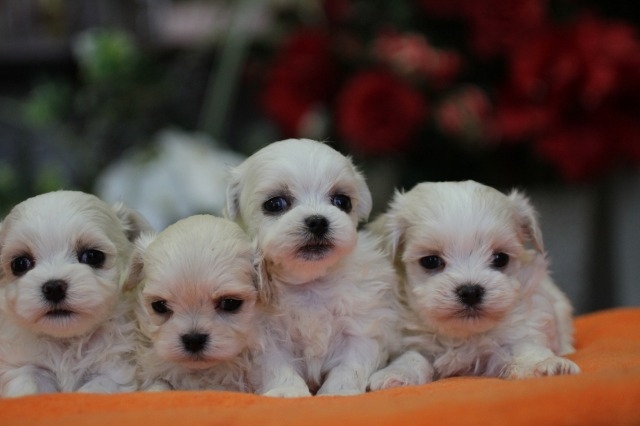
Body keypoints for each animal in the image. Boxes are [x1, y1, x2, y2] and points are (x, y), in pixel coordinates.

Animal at [0, 190, 150, 397]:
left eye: (93, 256)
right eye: (20, 264)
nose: (54, 287)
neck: (66, 341)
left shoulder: (114, 370)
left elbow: (94, 389)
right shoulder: (25, 366)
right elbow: (25, 388)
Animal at [225, 138, 401, 397]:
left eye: (342, 201)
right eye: (275, 204)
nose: (318, 221)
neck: (310, 284)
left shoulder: (363, 328)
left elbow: (351, 365)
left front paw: (338, 392)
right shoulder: (262, 338)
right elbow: (277, 366)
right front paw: (288, 391)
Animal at [367, 180, 580, 390]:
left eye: (500, 258)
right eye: (430, 261)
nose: (470, 292)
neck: (463, 335)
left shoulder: (520, 328)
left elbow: (525, 348)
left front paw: (546, 365)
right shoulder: (412, 340)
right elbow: (412, 357)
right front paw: (395, 374)